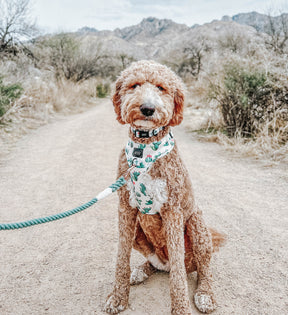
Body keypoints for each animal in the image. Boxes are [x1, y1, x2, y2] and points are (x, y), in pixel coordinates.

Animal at [103, 60, 225, 314]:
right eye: (134, 85)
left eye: (161, 88)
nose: (148, 108)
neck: (143, 151)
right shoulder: (125, 208)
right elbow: (121, 256)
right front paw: (118, 297)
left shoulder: (173, 211)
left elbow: (178, 274)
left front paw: (181, 308)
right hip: (140, 229)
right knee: (156, 265)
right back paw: (140, 271)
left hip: (197, 224)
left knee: (201, 267)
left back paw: (205, 294)